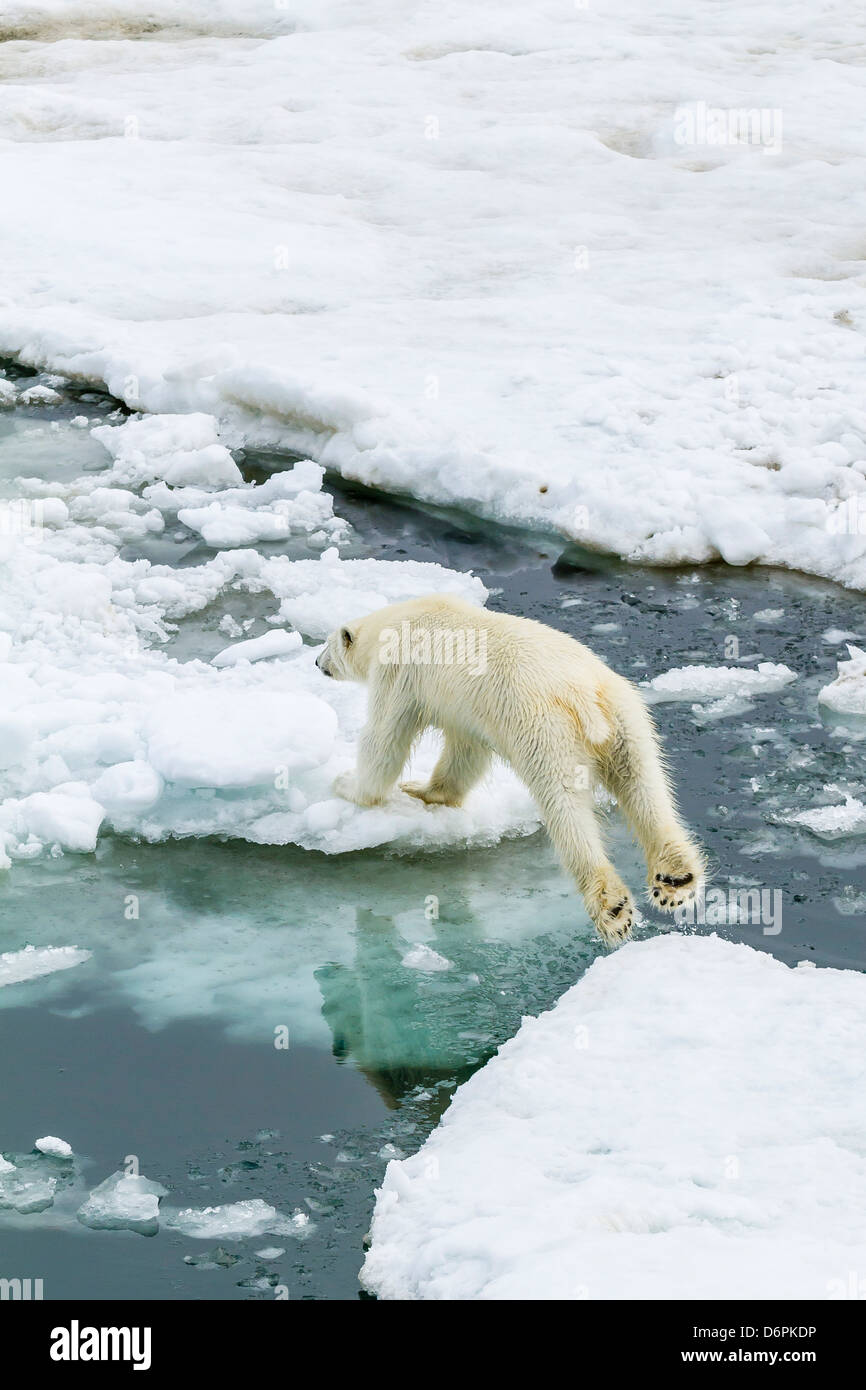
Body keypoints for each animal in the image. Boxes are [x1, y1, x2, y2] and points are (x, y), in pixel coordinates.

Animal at [318, 592, 706, 950]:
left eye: (326, 642)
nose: (317, 660)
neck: (398, 618)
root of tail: (584, 697)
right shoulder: (466, 710)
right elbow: (465, 754)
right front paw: (425, 790)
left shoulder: (399, 672)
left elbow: (384, 741)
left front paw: (349, 784)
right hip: (627, 718)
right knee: (645, 786)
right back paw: (676, 879)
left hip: (544, 729)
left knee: (565, 807)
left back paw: (612, 908)